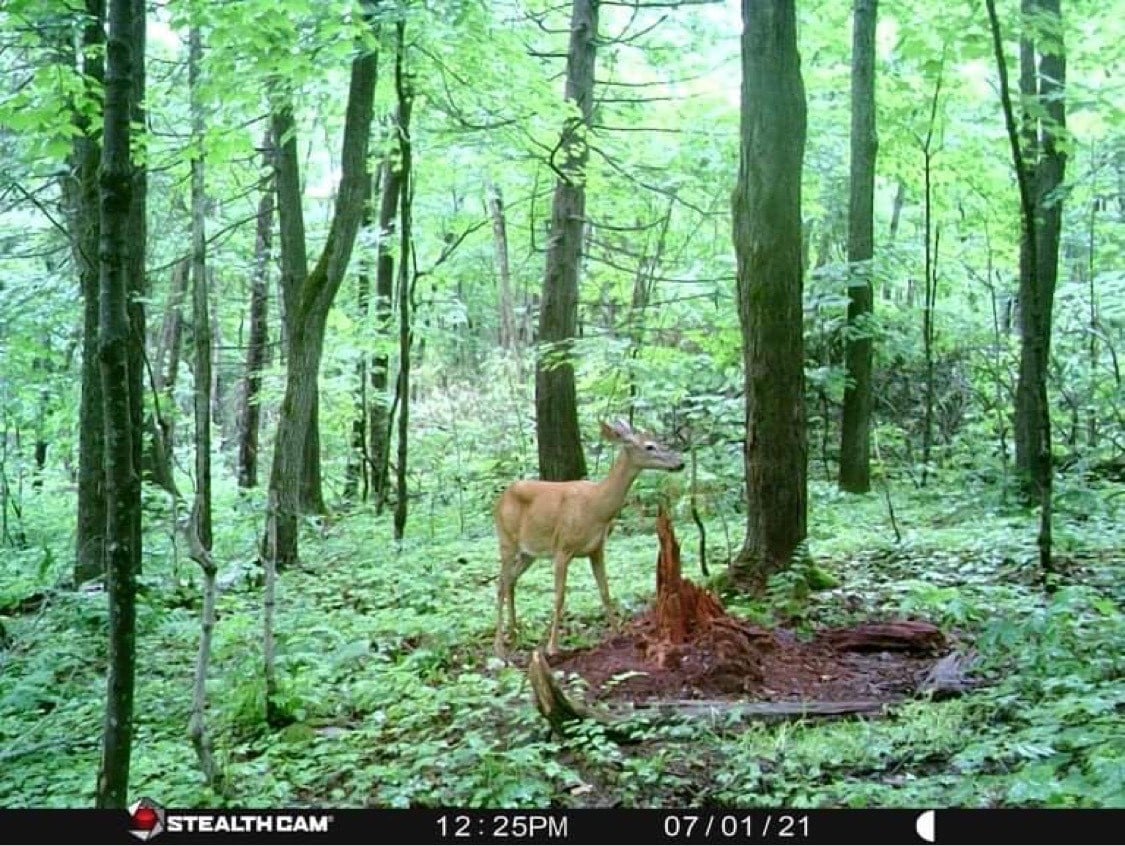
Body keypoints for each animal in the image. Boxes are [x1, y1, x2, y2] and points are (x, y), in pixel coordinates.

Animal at [495, 420, 684, 657]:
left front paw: (617, 633)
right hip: (506, 540)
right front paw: (552, 647)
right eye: (650, 446)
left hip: (529, 552)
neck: (597, 507)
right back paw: (499, 646)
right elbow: (559, 597)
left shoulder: (597, 549)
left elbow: (605, 591)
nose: (680, 462)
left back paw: (515, 633)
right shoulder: (562, 548)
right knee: (501, 583)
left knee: (511, 580)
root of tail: (500, 499)